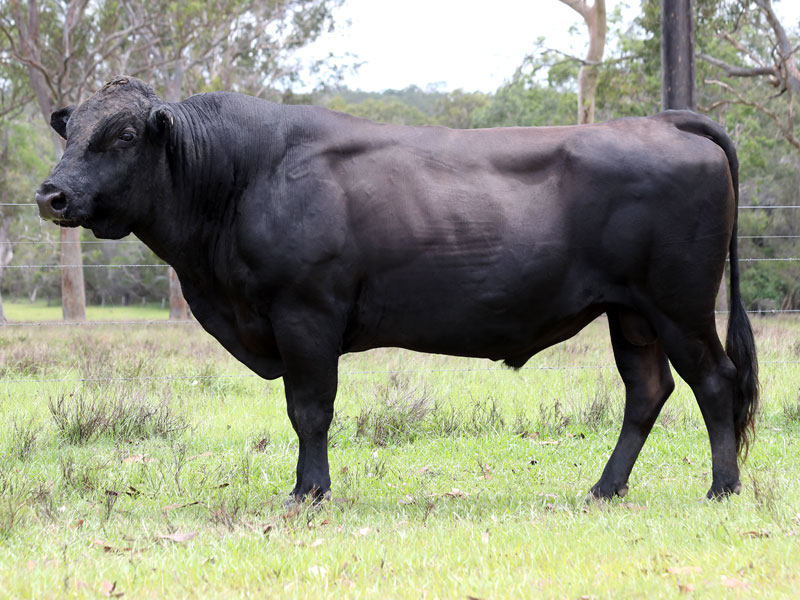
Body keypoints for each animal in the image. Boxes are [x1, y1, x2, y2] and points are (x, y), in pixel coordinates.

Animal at [36, 76, 758, 502]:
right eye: (70, 131)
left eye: (124, 135)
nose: (51, 195)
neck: (239, 175)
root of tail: (663, 121)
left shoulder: (305, 315)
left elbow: (310, 410)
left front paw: (309, 492)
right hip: (630, 312)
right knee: (648, 392)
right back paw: (605, 488)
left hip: (678, 306)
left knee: (715, 380)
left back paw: (722, 488)